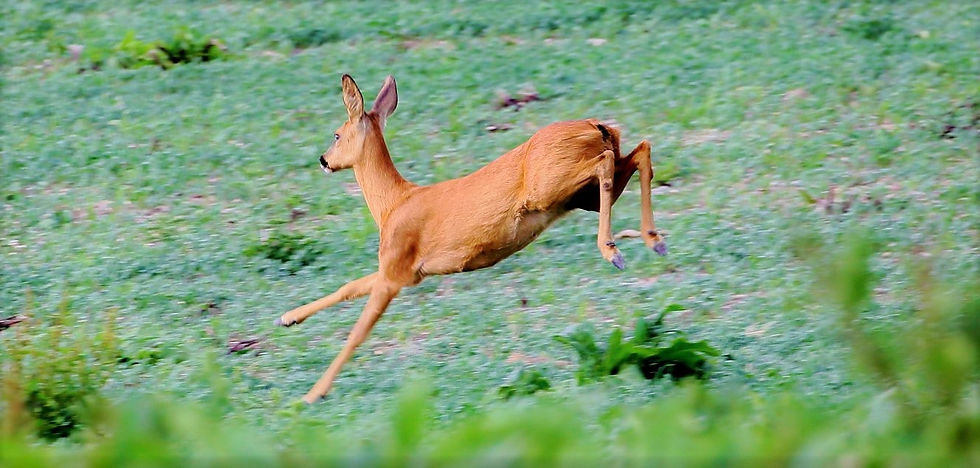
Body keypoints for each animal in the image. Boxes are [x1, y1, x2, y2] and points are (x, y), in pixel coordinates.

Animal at [275, 74, 668, 403]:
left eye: (337, 134)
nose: (324, 160)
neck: (393, 205)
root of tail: (596, 126)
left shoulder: (395, 266)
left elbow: (358, 331)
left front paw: (312, 394)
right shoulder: (406, 271)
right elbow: (349, 287)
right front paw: (288, 318)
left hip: (551, 185)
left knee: (608, 161)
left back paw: (614, 250)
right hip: (579, 195)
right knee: (639, 151)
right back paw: (654, 240)